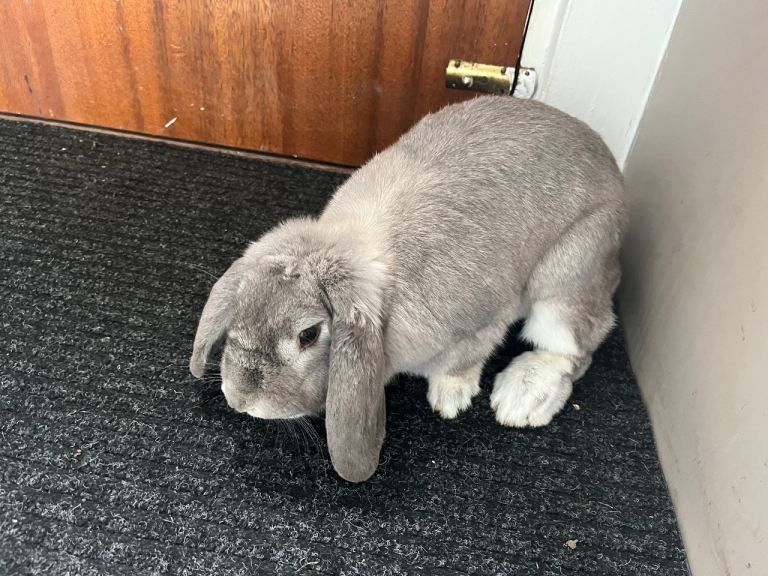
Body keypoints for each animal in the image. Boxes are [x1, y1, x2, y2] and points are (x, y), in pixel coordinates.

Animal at [190, 95, 626, 483]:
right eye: (239, 311)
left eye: (308, 334)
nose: (240, 399)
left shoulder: (487, 319)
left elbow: (465, 359)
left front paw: (450, 397)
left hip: (567, 277)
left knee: (577, 346)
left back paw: (521, 400)